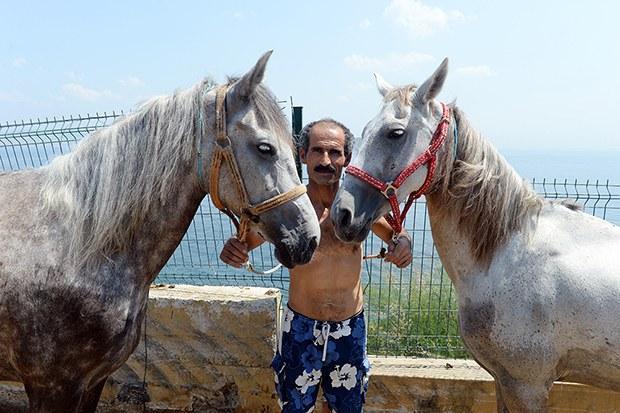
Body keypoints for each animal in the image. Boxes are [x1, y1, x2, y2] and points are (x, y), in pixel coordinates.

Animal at [332, 58, 620, 412]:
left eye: (395, 133)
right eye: (364, 130)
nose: (342, 214)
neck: (508, 252)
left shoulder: (527, 386)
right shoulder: (503, 381)